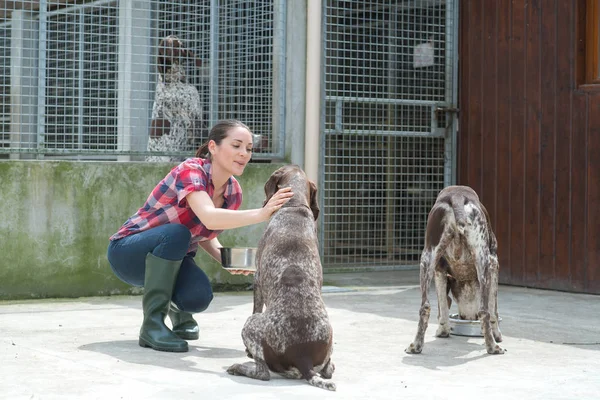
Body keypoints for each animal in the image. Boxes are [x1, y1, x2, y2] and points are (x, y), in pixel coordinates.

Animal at [227, 165, 336, 390]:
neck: (294, 206)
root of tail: (303, 358)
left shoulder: (257, 280)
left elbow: (256, 305)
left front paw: (247, 354)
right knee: (328, 370)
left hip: (251, 324)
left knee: (262, 373)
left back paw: (239, 367)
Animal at [406, 186, 504, 354]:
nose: (467, 317)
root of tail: (457, 196)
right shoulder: (493, 265)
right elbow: (494, 311)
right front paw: (497, 335)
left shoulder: (439, 270)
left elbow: (443, 308)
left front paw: (443, 331)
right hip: (483, 259)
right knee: (484, 310)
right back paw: (492, 347)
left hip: (427, 258)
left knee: (425, 307)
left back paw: (416, 345)